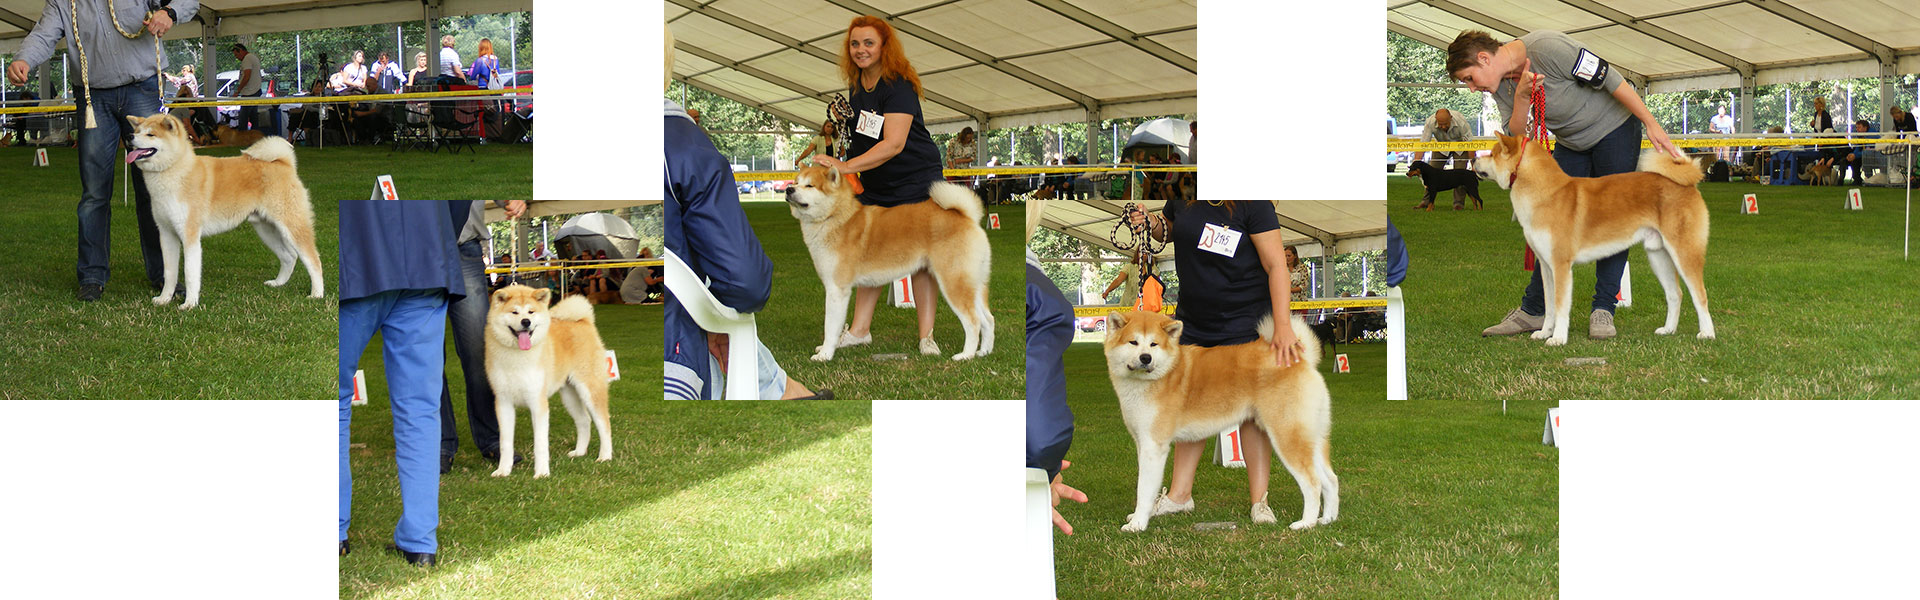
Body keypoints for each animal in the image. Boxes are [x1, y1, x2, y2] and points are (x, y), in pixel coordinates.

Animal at [122, 112, 322, 309]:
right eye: (138, 131)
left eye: (150, 134)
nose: (129, 136)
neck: (175, 171)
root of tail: (284, 164)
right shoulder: (166, 233)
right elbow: (169, 272)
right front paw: (164, 299)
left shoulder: (190, 235)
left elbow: (190, 273)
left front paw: (190, 304)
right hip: (266, 229)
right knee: (289, 256)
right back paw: (278, 283)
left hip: (292, 226)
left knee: (313, 260)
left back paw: (317, 294)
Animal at [483, 286, 610, 478]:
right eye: (514, 312)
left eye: (531, 311)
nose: (526, 321)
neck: (517, 357)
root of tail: (583, 321)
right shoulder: (503, 402)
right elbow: (505, 443)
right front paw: (503, 470)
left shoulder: (538, 402)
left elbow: (540, 443)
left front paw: (542, 473)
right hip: (569, 395)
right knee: (584, 420)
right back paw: (579, 452)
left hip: (590, 389)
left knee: (603, 422)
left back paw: (605, 456)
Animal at [783, 164, 998, 361]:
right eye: (796, 181)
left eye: (809, 185)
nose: (788, 189)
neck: (835, 217)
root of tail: (967, 217)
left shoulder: (837, 289)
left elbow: (830, 327)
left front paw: (825, 355)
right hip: (974, 283)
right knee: (988, 319)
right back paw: (983, 352)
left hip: (953, 282)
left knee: (973, 321)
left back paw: (966, 355)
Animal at [1105, 311, 1344, 530]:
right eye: (1133, 342)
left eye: (1153, 344)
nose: (1146, 358)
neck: (1163, 373)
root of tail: (1301, 360)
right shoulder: (1142, 442)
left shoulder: (1154, 446)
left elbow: (1143, 489)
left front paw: (1137, 524)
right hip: (1311, 437)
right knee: (1330, 480)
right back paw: (1327, 519)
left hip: (1286, 436)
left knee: (1313, 483)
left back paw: (1306, 523)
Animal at [1474, 132, 1720, 344]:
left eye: (1493, 154)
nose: (1475, 160)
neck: (1546, 194)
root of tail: (1689, 184)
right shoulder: (1546, 266)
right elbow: (1550, 306)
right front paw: (1544, 333)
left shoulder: (1561, 265)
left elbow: (1561, 306)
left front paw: (1558, 339)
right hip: (1657, 255)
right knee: (1674, 294)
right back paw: (1668, 330)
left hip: (1684, 253)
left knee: (1700, 295)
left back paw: (1707, 333)